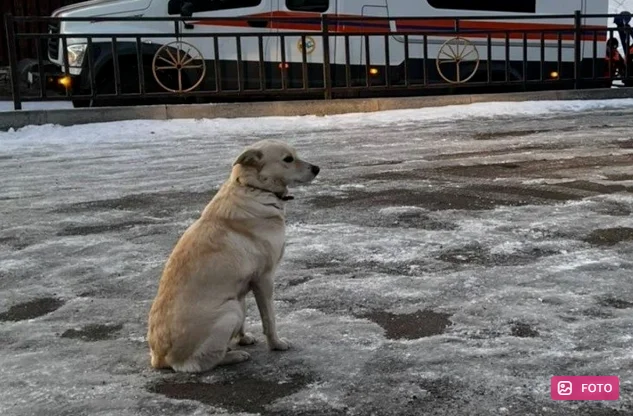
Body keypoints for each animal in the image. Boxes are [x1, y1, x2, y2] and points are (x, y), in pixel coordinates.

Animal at [146, 140, 318, 374]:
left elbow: (247, 318)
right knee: (199, 363)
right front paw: (276, 344)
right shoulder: (264, 279)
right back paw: (234, 356)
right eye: (288, 159)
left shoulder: (243, 285)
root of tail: (159, 358)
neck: (254, 188)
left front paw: (243, 338)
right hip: (230, 311)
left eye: (295, 155)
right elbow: (269, 319)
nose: (317, 168)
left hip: (234, 304)